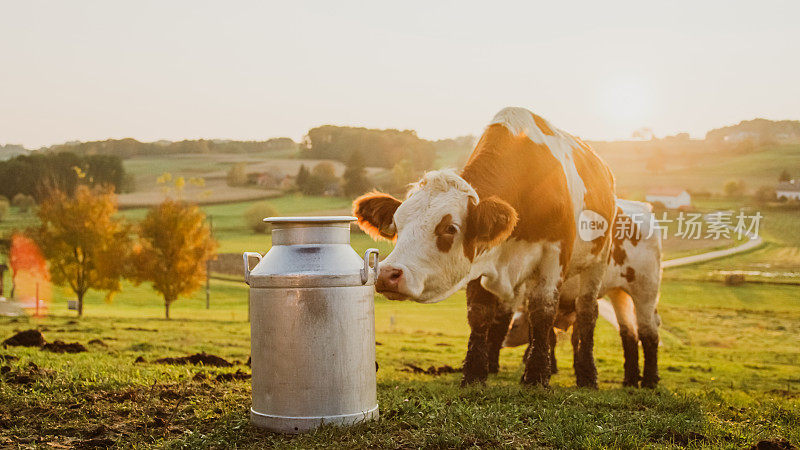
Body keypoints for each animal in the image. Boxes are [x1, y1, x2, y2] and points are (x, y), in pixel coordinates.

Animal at [354, 107, 616, 388]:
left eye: (450, 228)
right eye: (397, 224)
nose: (386, 274)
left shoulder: (555, 254)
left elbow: (543, 310)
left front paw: (536, 376)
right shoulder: (481, 260)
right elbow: (480, 313)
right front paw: (475, 373)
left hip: (598, 261)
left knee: (587, 312)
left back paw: (587, 375)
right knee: (504, 314)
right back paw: (493, 364)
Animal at [496, 200, 660, 386]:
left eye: (515, 326)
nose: (504, 345)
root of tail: (643, 207)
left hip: (645, 291)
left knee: (649, 333)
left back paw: (649, 381)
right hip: (619, 294)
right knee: (629, 333)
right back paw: (630, 379)